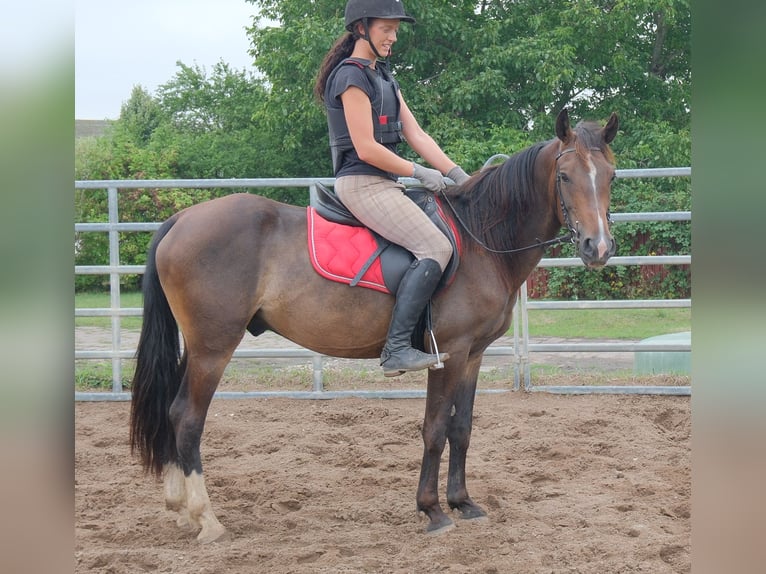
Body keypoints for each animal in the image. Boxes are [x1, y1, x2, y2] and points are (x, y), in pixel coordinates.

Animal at [129, 108, 619, 542]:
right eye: (564, 176)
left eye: (611, 176)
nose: (597, 248)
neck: (481, 238)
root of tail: (181, 219)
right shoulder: (448, 352)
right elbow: (435, 429)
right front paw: (433, 510)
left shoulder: (473, 354)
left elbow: (462, 428)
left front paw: (463, 502)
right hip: (214, 347)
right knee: (187, 417)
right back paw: (206, 518)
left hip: (196, 347)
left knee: (171, 411)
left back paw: (179, 509)